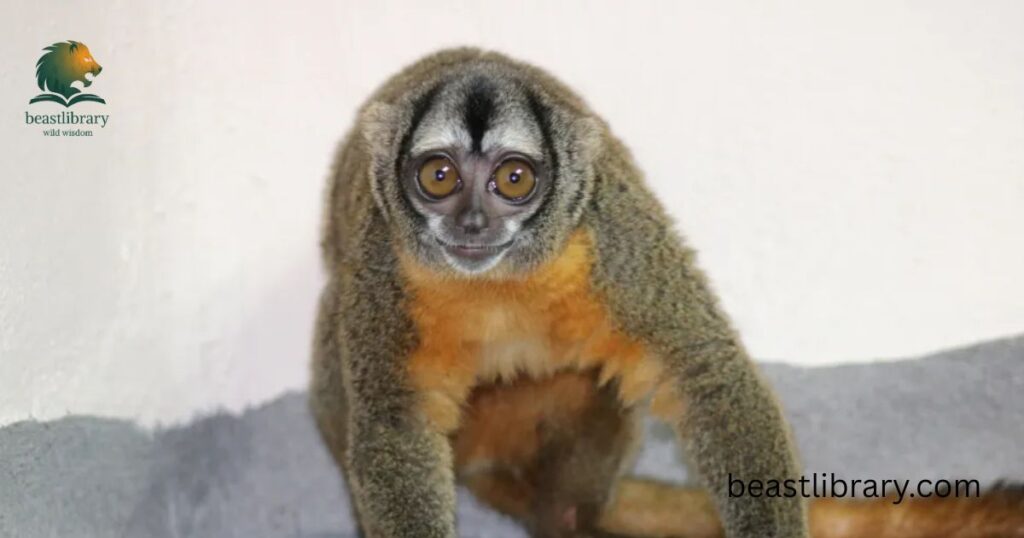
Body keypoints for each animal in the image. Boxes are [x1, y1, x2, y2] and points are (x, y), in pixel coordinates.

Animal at [309, 48, 1024, 538]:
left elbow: (703, 369)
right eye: (439, 176)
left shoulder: (610, 235)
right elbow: (392, 424)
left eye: (513, 179)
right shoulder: (382, 261)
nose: (473, 224)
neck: (499, 281)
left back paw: (569, 520)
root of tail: (485, 465)